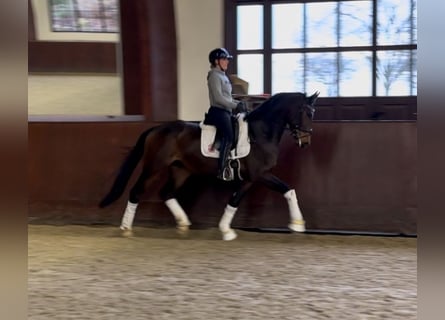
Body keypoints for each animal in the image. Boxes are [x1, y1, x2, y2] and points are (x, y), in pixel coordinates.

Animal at [99, 91, 318, 239]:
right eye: (306, 112)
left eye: (313, 112)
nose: (306, 141)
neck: (259, 133)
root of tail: (156, 129)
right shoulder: (259, 174)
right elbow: (287, 190)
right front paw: (297, 224)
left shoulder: (249, 178)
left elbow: (235, 200)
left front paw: (226, 230)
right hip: (153, 167)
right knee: (136, 191)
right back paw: (126, 228)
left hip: (181, 170)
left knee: (166, 193)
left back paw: (183, 223)